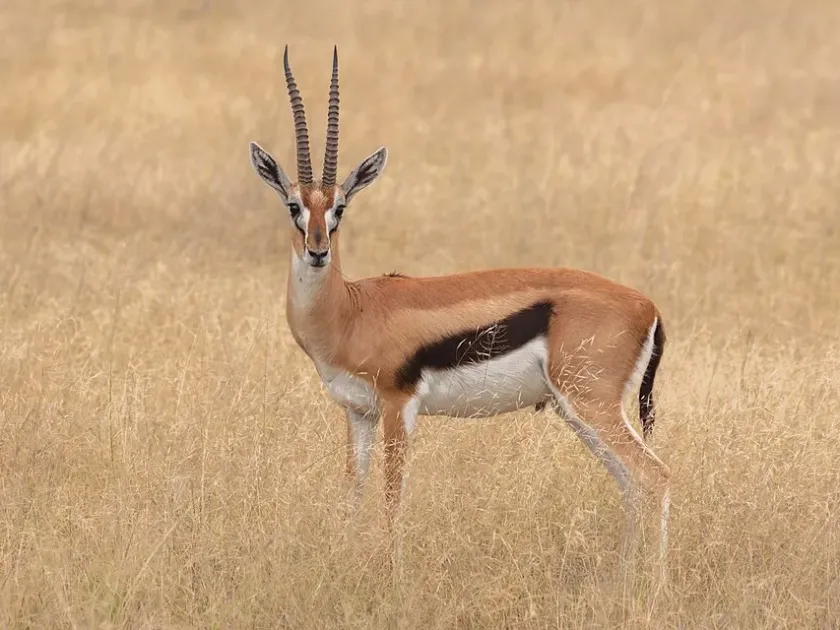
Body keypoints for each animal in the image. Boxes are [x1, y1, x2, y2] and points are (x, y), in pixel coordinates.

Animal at [248, 46, 671, 572]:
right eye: (293, 206)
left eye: (340, 207)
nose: (318, 251)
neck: (350, 311)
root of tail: (648, 306)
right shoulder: (358, 412)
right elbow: (352, 494)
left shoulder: (398, 406)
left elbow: (393, 497)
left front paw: (392, 574)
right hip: (580, 412)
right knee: (633, 486)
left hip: (591, 405)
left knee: (655, 478)